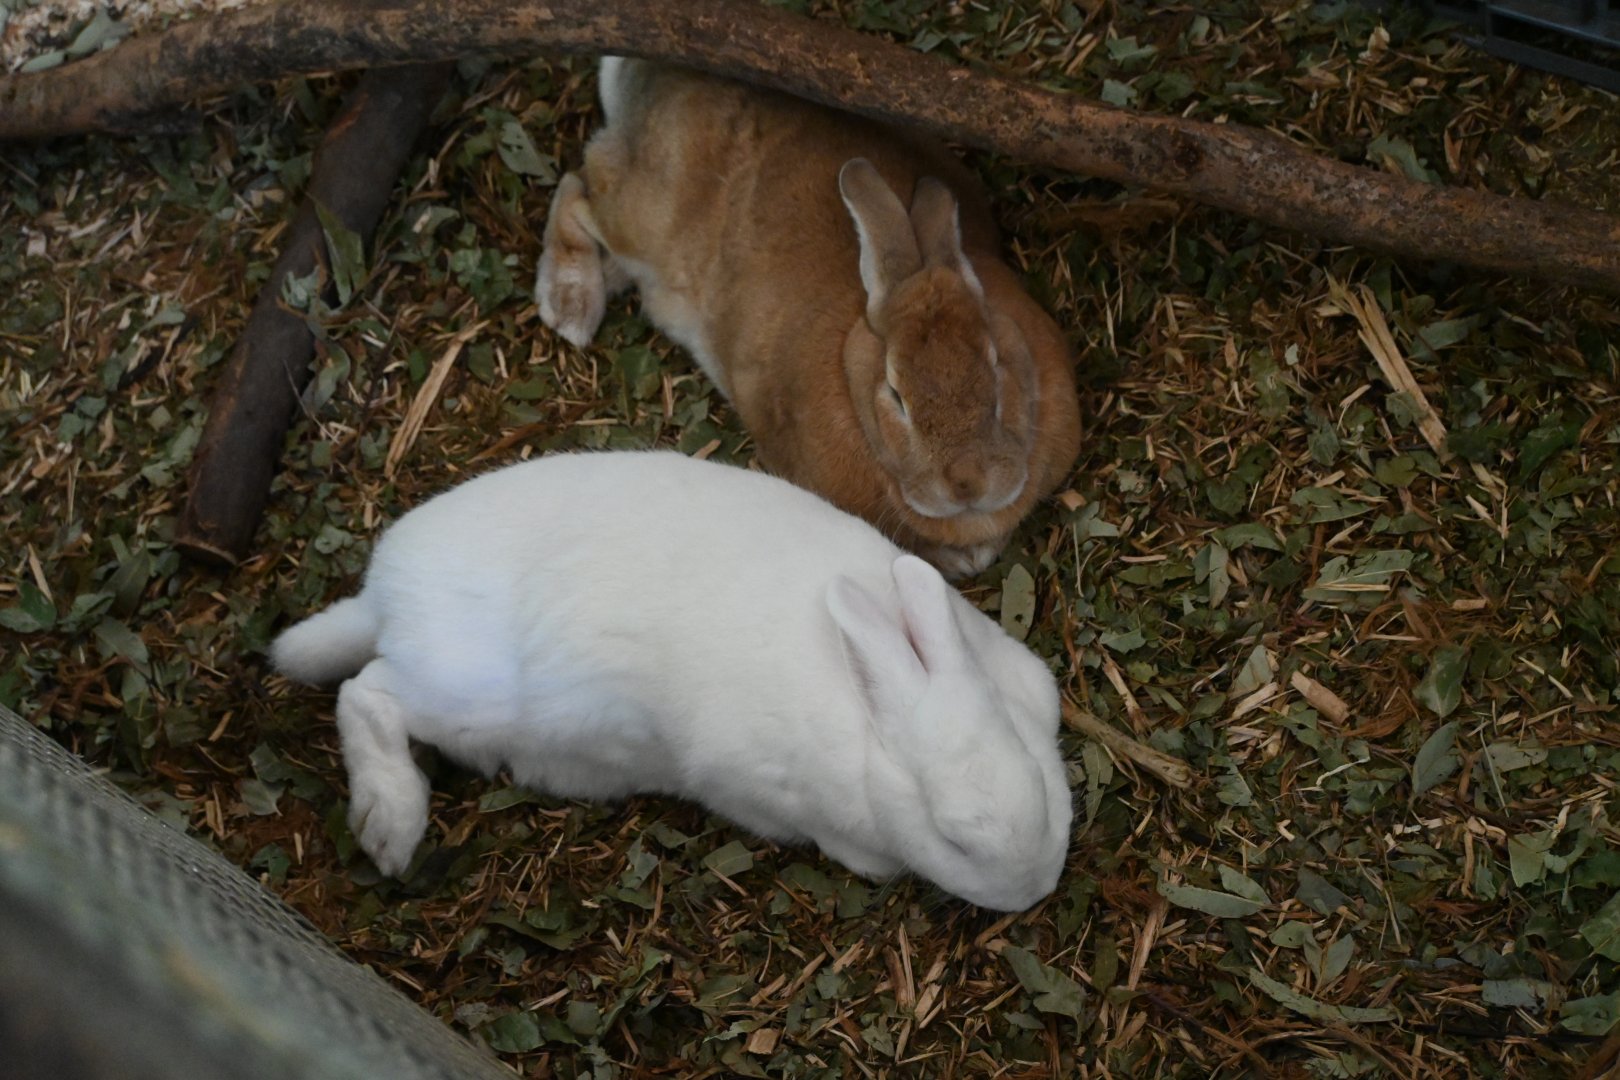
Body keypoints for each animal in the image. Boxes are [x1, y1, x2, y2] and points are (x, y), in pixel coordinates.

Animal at [271, 451, 1073, 912]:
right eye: (954, 841)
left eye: (1041, 780)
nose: (1036, 889)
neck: (874, 711)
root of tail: (381, 596)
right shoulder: (761, 791)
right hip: (459, 696)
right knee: (365, 694)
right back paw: (390, 826)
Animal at [534, 58, 1082, 579]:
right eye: (895, 394)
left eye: (995, 364)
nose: (967, 483)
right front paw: (958, 559)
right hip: (640, 216)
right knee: (576, 190)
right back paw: (569, 303)